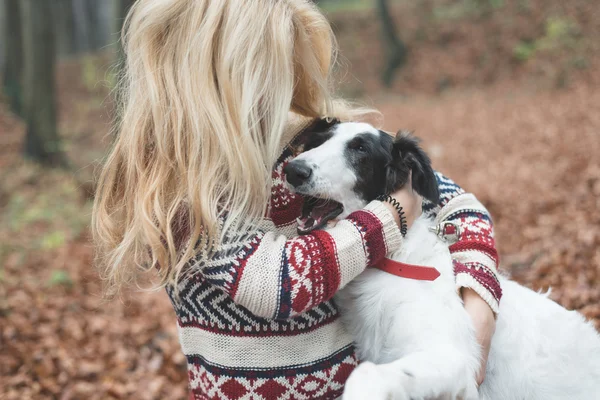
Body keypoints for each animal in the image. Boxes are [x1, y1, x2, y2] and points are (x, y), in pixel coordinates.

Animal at [284, 121, 600, 400]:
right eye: (319, 141)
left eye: (360, 149)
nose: (293, 170)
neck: (391, 263)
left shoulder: (452, 359)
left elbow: (369, 374)